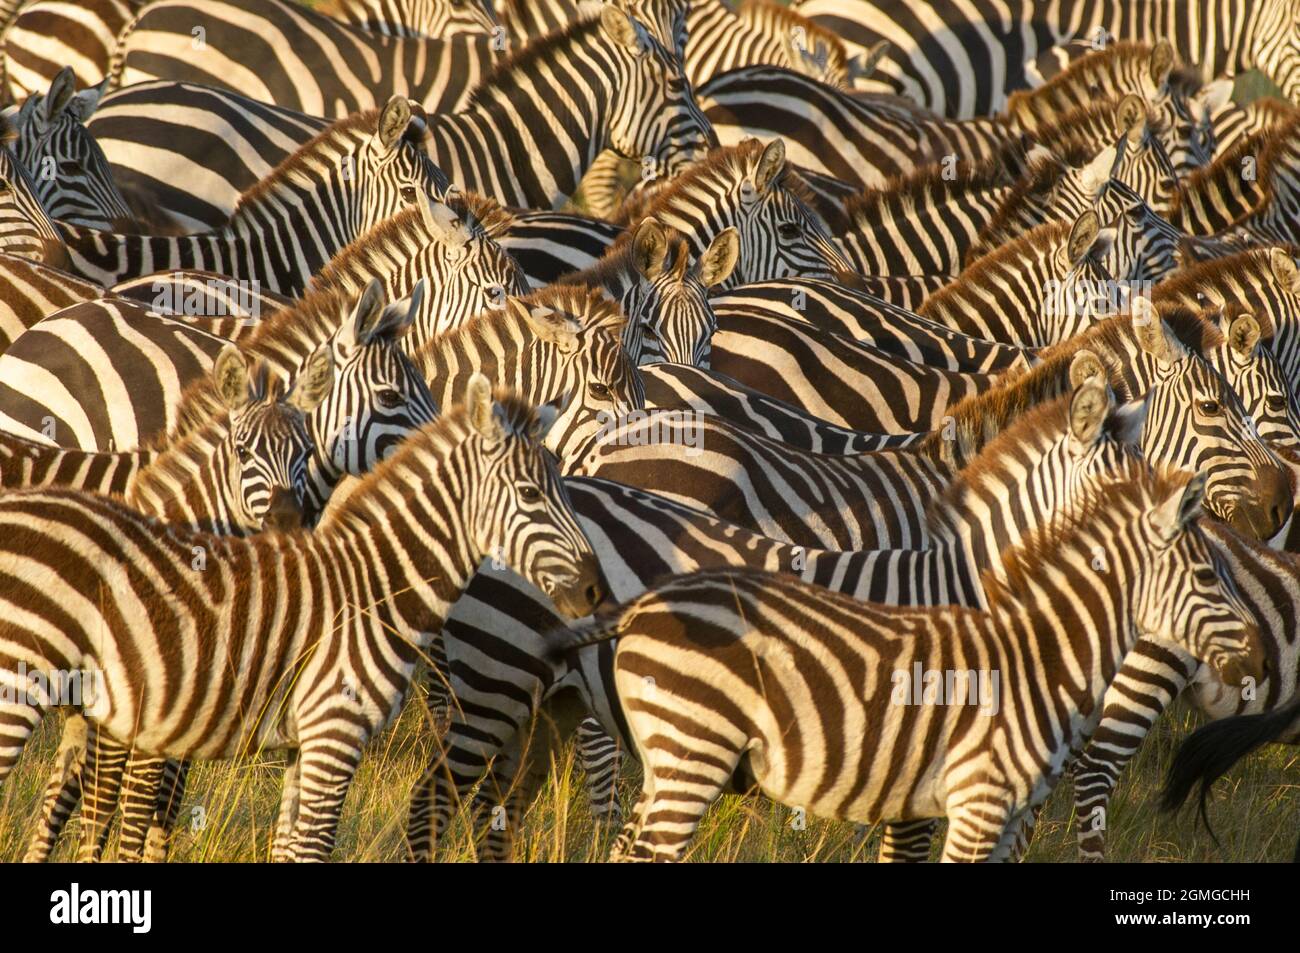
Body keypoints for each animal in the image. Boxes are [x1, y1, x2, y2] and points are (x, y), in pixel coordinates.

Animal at [0, 377, 604, 862]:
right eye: (530, 494)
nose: (595, 589)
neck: (373, 585)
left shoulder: (300, 742)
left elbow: (289, 848)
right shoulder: (335, 731)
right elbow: (313, 847)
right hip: (20, 683)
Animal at [555, 463, 1265, 862]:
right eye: (1210, 574)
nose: (1260, 652)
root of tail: (646, 603)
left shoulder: (1004, 812)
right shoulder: (975, 800)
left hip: (670, 755)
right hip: (689, 750)